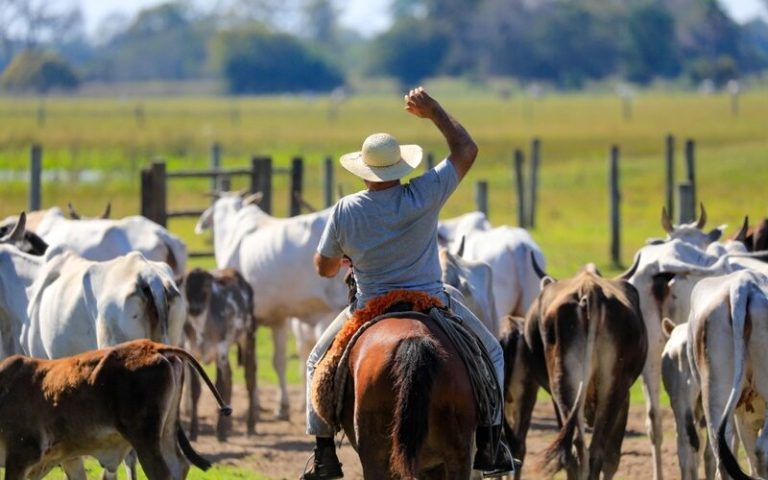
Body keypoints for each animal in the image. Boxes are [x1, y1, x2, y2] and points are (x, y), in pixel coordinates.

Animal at [0, 338, 230, 480]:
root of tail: (154, 346)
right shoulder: (67, 458)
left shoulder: (20, 457)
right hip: (166, 432)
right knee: (179, 466)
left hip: (145, 441)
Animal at [195, 193, 348, 418]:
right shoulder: (279, 319)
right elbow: (279, 361)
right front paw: (282, 406)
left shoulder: (251, 322)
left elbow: (252, 364)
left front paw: (256, 404)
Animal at [520, 260, 648, 478]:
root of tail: (589, 289)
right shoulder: (626, 397)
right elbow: (612, 457)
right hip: (612, 388)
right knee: (591, 452)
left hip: (567, 386)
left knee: (579, 450)